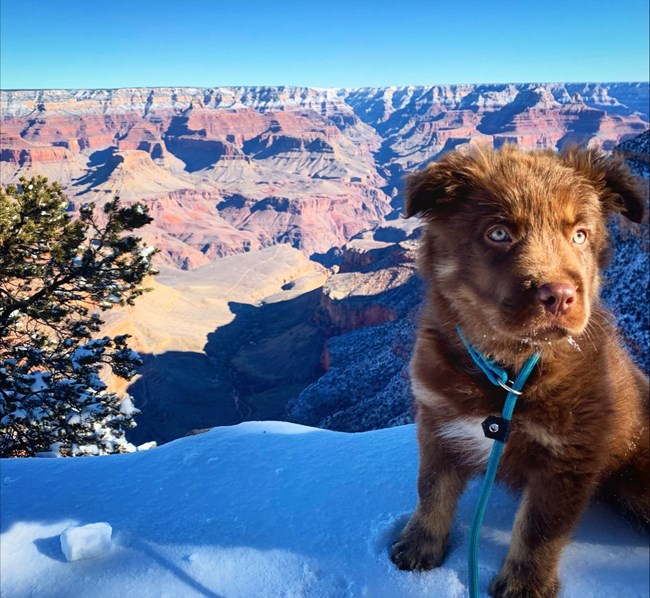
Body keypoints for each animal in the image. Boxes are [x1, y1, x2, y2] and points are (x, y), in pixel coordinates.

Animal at [390, 145, 648, 598]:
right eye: (498, 234)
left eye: (580, 235)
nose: (559, 296)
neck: (509, 370)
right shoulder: (438, 420)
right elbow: (431, 490)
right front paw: (420, 545)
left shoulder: (568, 456)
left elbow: (539, 529)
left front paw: (524, 583)